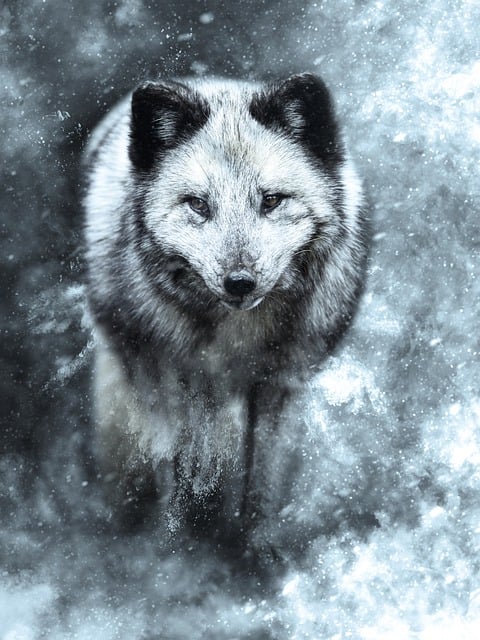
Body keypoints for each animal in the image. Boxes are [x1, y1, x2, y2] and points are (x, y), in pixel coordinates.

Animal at [83, 73, 366, 556]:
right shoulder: (168, 374)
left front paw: (257, 548)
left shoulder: (281, 383)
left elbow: (263, 478)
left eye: (271, 200)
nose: (239, 282)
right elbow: (173, 462)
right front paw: (175, 539)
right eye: (198, 205)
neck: (235, 337)